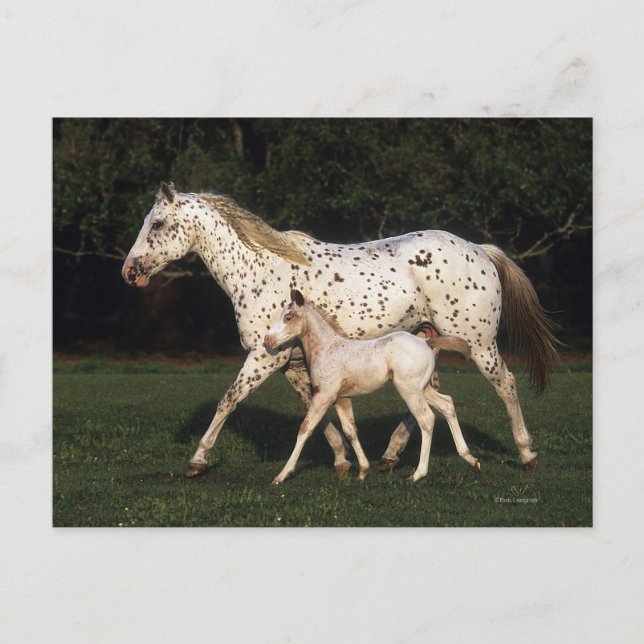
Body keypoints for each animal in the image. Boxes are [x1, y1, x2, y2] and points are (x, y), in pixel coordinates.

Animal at [264, 289, 479, 483]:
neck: (327, 349)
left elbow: (305, 429)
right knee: (447, 404)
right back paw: (470, 458)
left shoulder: (324, 395)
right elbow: (350, 430)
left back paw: (418, 474)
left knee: (426, 419)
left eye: (288, 317)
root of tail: (427, 342)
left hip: (409, 390)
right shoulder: (342, 398)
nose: (267, 340)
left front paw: (282, 475)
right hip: (423, 388)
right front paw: (363, 470)